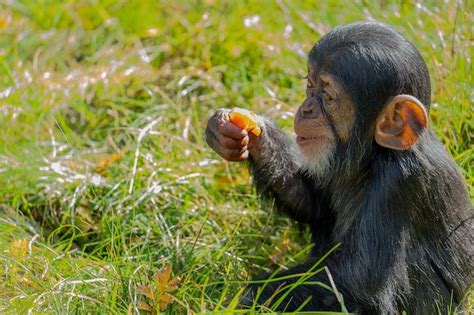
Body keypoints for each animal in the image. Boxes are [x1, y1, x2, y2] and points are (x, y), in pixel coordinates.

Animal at [206, 21, 472, 314]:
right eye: (310, 85)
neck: (373, 157)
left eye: (328, 96)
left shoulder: (400, 183)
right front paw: (238, 131)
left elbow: (358, 278)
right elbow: (313, 204)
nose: (307, 108)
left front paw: (240, 293)